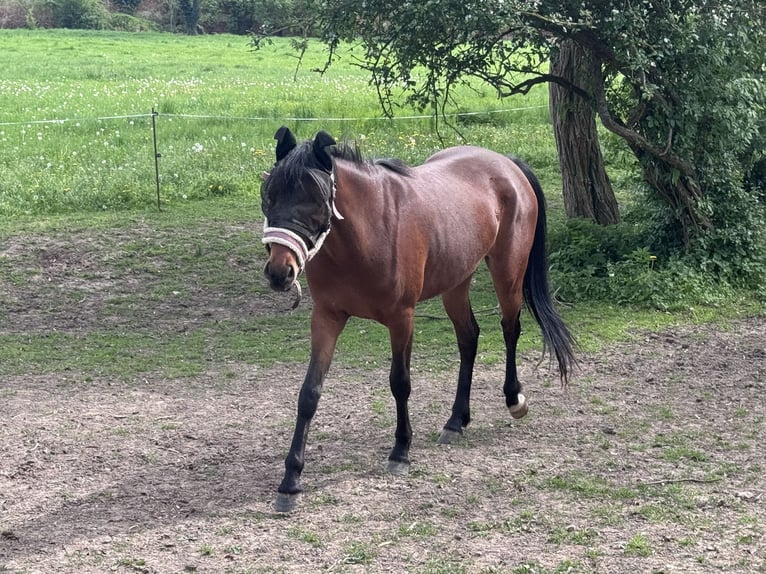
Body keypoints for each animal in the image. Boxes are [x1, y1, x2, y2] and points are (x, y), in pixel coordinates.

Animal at [261, 126, 576, 512]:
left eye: (316, 199)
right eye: (269, 194)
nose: (280, 272)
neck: (366, 233)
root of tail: (507, 163)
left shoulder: (402, 319)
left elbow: (400, 383)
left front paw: (400, 451)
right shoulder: (327, 318)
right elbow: (309, 393)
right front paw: (290, 481)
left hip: (508, 275)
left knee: (509, 329)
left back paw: (514, 398)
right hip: (455, 284)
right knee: (469, 337)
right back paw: (456, 420)